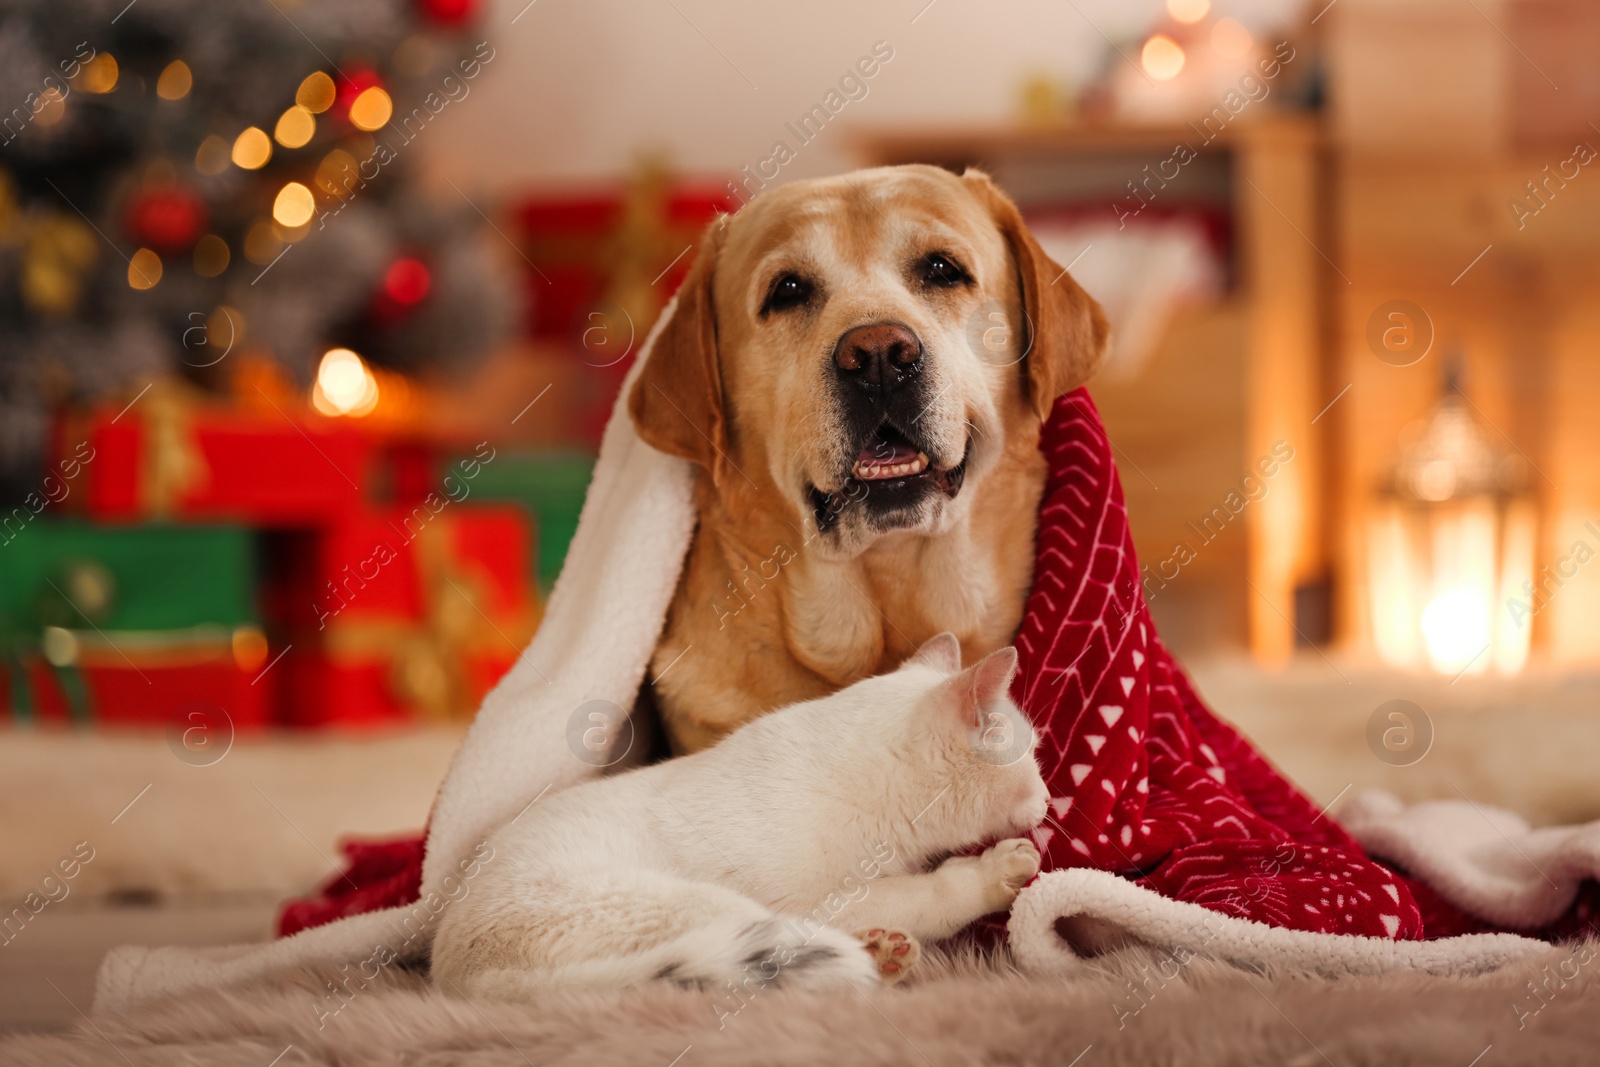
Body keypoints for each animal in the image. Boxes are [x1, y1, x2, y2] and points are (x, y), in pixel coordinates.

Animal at [432, 630, 1049, 998]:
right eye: (1034, 753)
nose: (1047, 800)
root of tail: (461, 979)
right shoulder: (815, 901)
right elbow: (927, 895)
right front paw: (996, 872)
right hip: (701, 907)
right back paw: (876, 957)